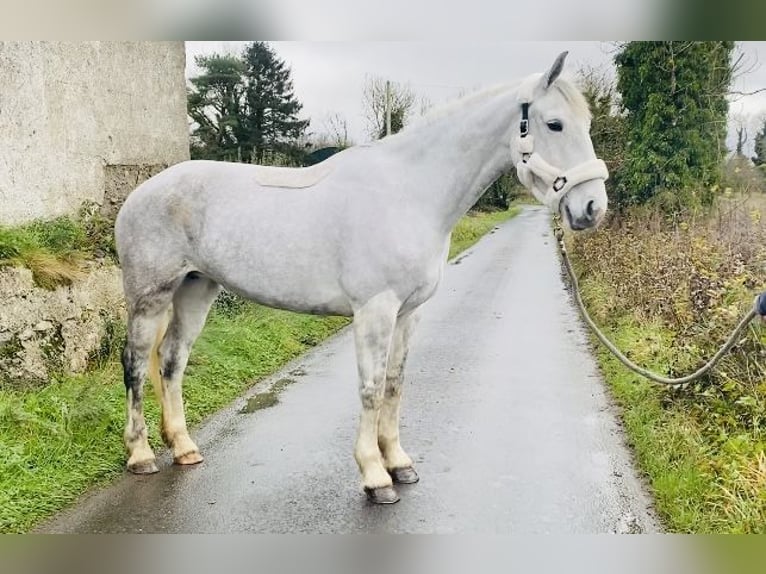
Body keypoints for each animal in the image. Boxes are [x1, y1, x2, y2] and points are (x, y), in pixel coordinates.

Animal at [114, 53, 608, 504]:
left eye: (586, 122)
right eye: (555, 124)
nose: (592, 208)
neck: (410, 192)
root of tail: (141, 193)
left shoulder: (409, 312)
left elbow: (394, 383)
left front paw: (399, 463)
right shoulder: (375, 310)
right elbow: (370, 389)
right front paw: (374, 475)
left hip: (196, 289)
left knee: (172, 361)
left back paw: (184, 448)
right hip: (149, 298)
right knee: (137, 366)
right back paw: (140, 455)